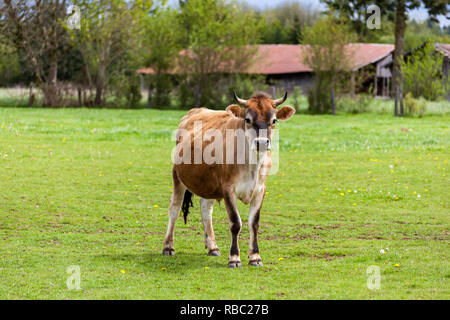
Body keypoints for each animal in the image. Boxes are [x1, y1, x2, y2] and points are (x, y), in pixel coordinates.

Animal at [162, 91, 296, 266]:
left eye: (274, 120)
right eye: (248, 119)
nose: (261, 142)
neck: (251, 165)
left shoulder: (260, 190)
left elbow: (254, 223)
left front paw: (255, 257)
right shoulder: (228, 189)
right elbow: (235, 222)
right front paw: (234, 258)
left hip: (208, 183)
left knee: (206, 209)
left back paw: (212, 247)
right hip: (177, 176)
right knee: (175, 208)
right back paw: (168, 247)